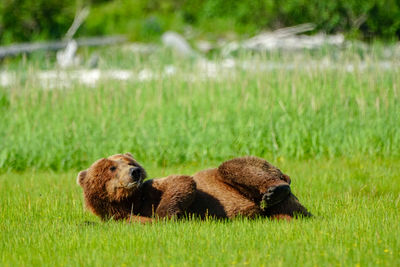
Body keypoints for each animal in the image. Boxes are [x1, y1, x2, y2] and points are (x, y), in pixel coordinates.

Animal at [76, 154, 312, 223]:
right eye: (112, 167)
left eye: (128, 161)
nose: (134, 171)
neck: (130, 200)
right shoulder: (119, 215)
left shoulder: (151, 189)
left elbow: (181, 182)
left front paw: (165, 216)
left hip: (260, 168)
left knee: (232, 166)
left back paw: (274, 192)